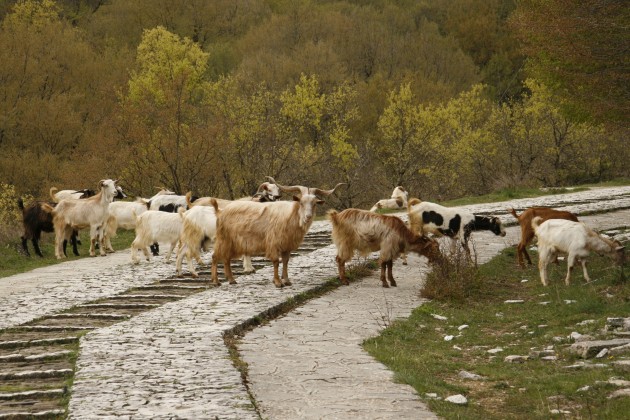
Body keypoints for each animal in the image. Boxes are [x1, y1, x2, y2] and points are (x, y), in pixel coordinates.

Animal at [211, 176, 346, 288]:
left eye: (314, 204)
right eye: (301, 202)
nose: (308, 216)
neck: (291, 216)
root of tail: (220, 211)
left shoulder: (287, 245)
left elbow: (285, 261)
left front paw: (286, 280)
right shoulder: (273, 242)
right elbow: (276, 261)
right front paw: (277, 282)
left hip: (231, 243)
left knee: (226, 259)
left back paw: (231, 280)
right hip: (224, 239)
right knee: (215, 257)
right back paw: (216, 281)